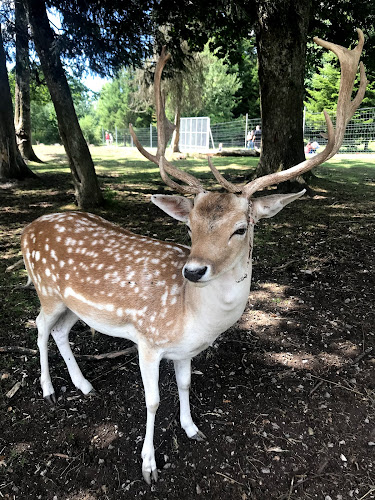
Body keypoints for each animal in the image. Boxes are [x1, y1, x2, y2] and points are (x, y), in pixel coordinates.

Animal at [21, 31, 368, 484]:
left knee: (61, 331)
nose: (193, 270)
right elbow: (152, 401)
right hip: (46, 290)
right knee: (39, 326)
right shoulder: (148, 340)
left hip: (72, 303)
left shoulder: (185, 351)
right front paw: (149, 465)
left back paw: (84, 386)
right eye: (189, 228)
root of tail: (27, 229)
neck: (192, 317)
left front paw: (192, 429)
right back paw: (48, 390)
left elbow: (186, 386)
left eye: (242, 228)